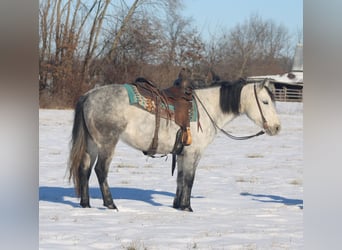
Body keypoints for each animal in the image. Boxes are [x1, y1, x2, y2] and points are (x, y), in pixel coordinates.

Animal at [67, 76, 280, 211]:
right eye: (265, 102)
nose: (277, 128)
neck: (208, 108)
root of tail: (88, 96)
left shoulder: (182, 153)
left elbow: (180, 179)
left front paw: (177, 205)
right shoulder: (194, 154)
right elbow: (189, 180)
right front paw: (187, 207)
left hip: (92, 144)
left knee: (84, 169)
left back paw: (85, 204)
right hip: (107, 143)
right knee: (100, 170)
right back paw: (110, 204)